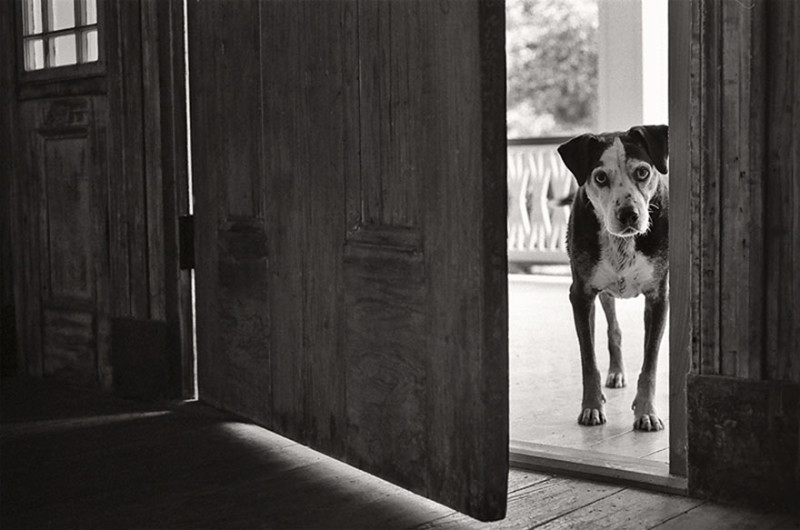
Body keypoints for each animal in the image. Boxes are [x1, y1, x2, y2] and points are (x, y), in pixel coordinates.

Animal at [556, 126, 668, 432]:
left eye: (642, 172)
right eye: (600, 177)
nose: (629, 214)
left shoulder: (658, 296)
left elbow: (650, 363)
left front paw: (647, 412)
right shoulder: (581, 295)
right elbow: (588, 360)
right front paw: (592, 407)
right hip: (601, 294)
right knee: (612, 329)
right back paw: (616, 373)